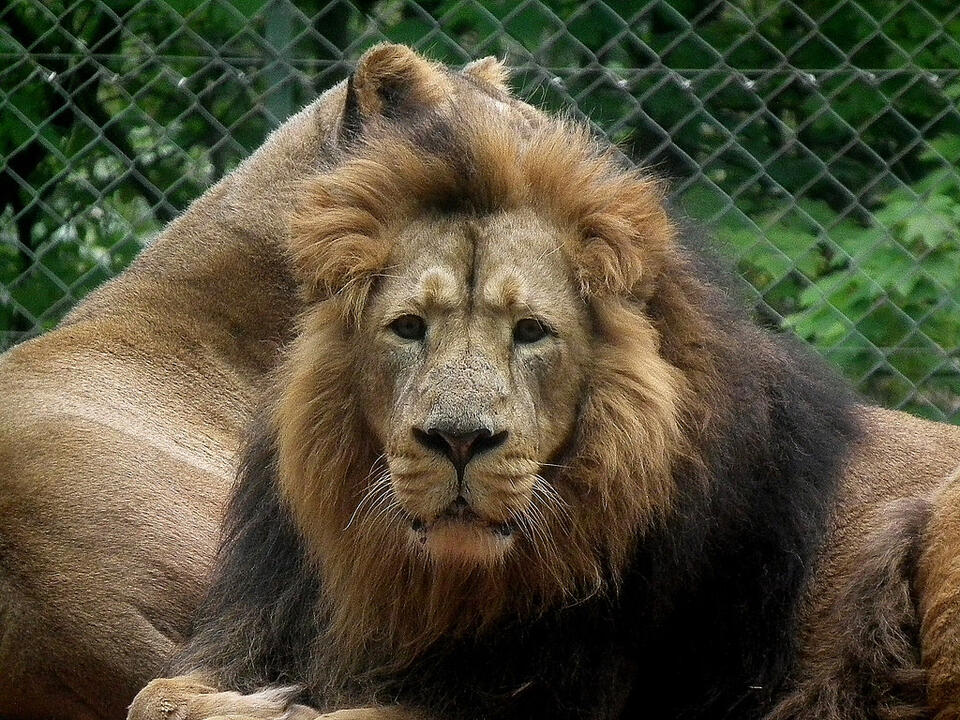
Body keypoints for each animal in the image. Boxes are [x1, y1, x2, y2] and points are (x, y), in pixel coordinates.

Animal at [121, 46, 960, 720]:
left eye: (531, 332)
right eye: (408, 327)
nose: (459, 440)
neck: (406, 581)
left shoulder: (537, 694)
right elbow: (152, 695)